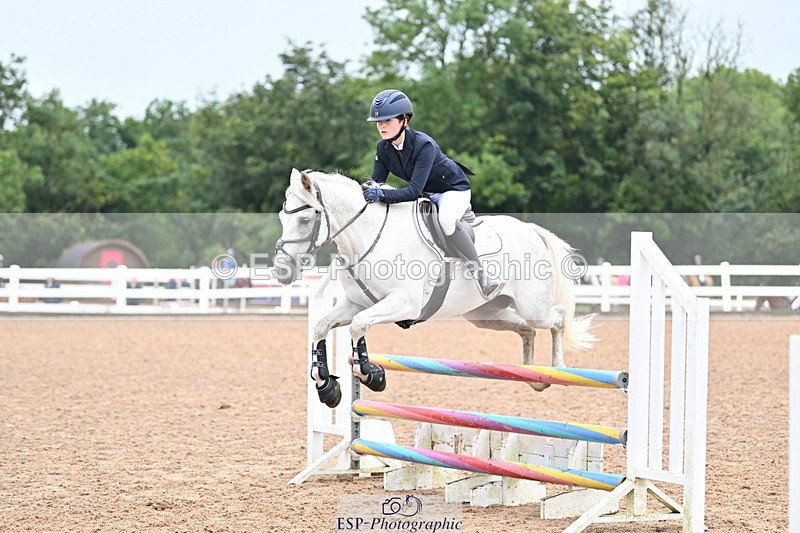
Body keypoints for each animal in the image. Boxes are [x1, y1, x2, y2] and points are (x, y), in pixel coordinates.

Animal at [275, 169, 596, 408]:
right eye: (281, 218)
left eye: (304, 219)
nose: (281, 271)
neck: (368, 237)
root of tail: (531, 230)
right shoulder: (356, 303)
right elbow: (321, 326)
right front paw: (327, 386)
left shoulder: (403, 304)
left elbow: (358, 326)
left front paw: (370, 374)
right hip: (485, 315)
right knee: (527, 330)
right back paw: (532, 376)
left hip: (533, 307)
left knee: (557, 318)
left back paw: (557, 368)